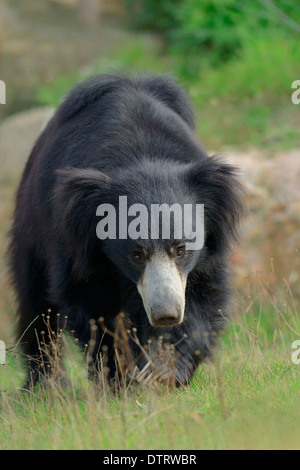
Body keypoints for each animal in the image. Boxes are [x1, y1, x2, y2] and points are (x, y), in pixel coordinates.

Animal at [8, 71, 244, 388]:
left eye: (180, 250)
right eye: (136, 255)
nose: (166, 314)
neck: (140, 155)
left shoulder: (207, 250)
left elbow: (204, 296)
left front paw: (168, 370)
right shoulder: (75, 243)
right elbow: (90, 305)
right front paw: (123, 377)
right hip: (30, 224)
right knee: (36, 302)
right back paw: (44, 384)